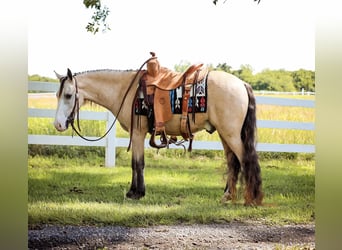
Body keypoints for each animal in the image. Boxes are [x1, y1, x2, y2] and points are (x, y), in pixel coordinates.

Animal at [53, 55, 264, 205]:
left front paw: (136, 193)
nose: (58, 124)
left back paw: (251, 198)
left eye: (69, 95)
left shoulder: (138, 133)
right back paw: (228, 196)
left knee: (245, 160)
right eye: (57, 94)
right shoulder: (137, 134)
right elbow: (136, 163)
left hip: (230, 134)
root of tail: (242, 84)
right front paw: (134, 191)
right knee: (233, 163)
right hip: (224, 134)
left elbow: (138, 163)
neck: (125, 90)